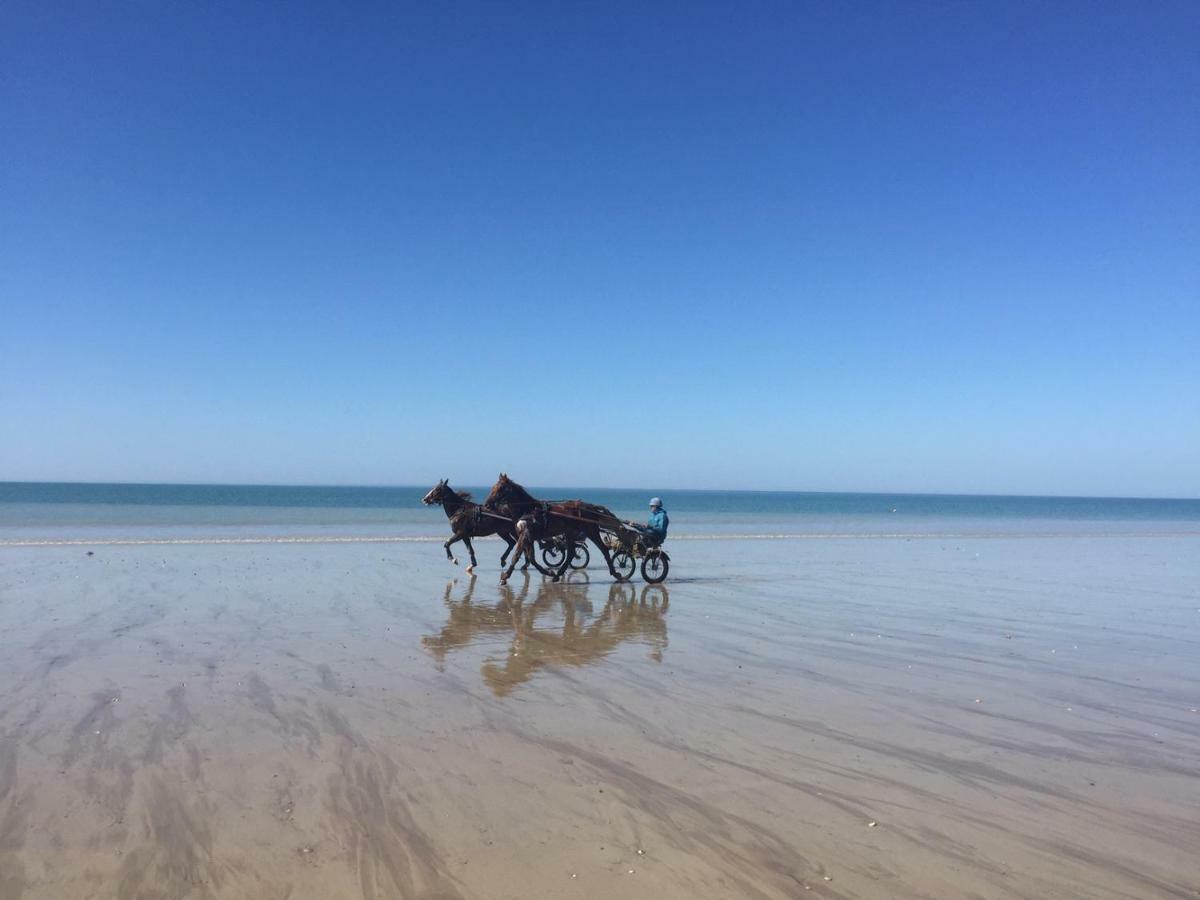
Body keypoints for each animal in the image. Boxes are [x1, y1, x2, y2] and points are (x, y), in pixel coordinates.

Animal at [482, 475, 628, 588]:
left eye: (500, 488)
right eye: (493, 487)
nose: (486, 505)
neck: (528, 510)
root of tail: (590, 507)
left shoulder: (525, 535)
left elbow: (517, 555)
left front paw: (505, 577)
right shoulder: (528, 536)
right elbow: (531, 558)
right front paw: (549, 572)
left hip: (591, 531)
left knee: (603, 549)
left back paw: (616, 573)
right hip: (570, 533)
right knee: (571, 553)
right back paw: (557, 575)